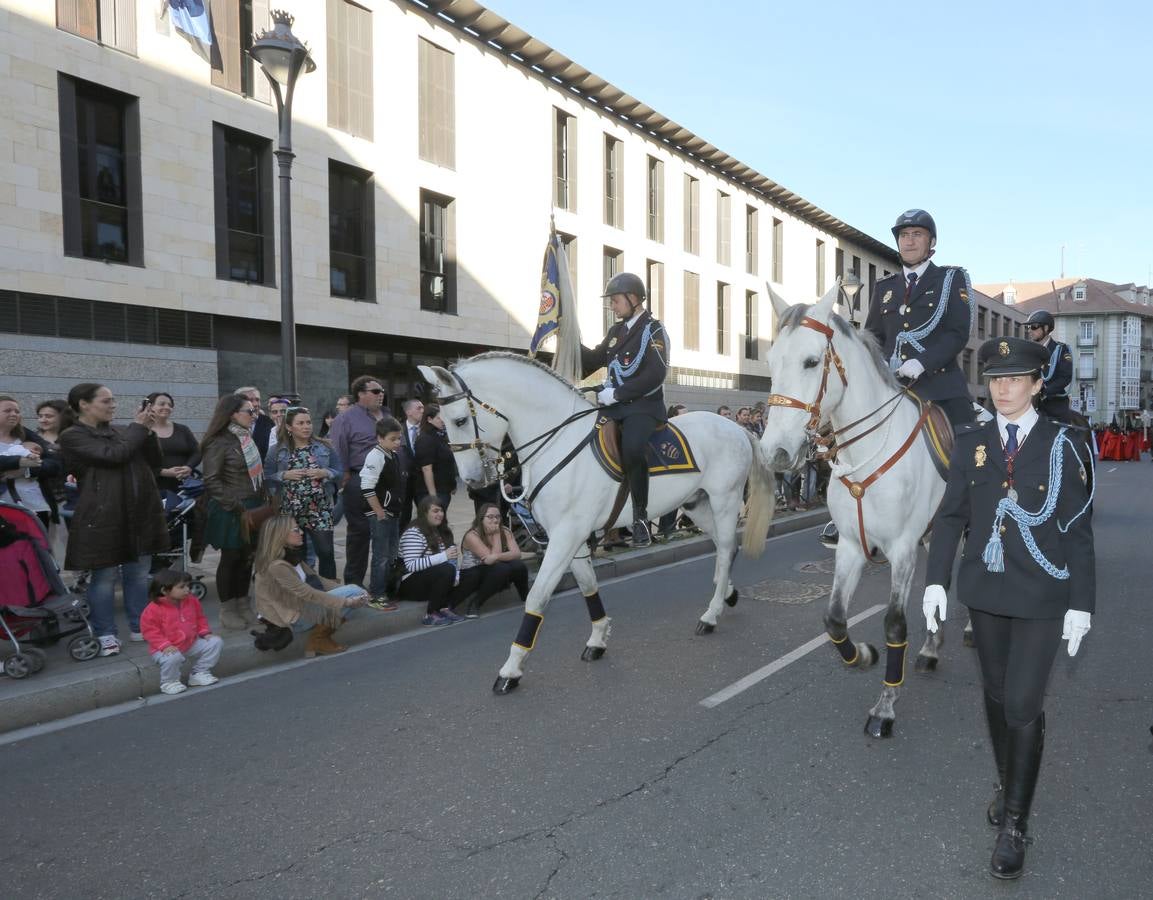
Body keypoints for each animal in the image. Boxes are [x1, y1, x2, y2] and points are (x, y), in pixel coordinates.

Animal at [417, 350, 774, 686]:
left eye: (459, 420)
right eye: (443, 423)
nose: (472, 480)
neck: (556, 443)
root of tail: (737, 428)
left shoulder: (566, 534)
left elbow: (538, 595)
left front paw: (511, 669)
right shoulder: (568, 537)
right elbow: (588, 585)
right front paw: (598, 639)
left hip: (725, 499)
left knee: (725, 549)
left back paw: (710, 615)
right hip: (697, 505)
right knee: (725, 549)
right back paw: (726, 594)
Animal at [760, 282, 950, 737]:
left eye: (812, 361)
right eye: (771, 361)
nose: (774, 453)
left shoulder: (902, 549)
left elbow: (895, 624)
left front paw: (885, 707)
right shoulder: (850, 545)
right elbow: (833, 619)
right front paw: (862, 656)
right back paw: (931, 648)